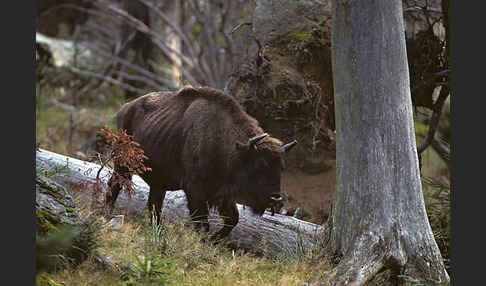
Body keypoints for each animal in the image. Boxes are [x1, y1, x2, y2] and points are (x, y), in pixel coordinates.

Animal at [106, 85, 296, 239]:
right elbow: (203, 224)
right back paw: (107, 215)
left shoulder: (223, 195)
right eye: (260, 164)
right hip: (123, 166)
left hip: (158, 183)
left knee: (154, 205)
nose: (275, 198)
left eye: (282, 167)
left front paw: (213, 240)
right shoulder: (195, 191)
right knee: (114, 186)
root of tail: (125, 108)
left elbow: (232, 220)